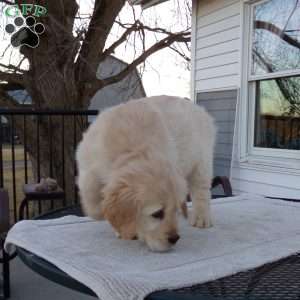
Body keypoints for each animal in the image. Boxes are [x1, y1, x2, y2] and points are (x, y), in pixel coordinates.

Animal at [75, 95, 216, 251]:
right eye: (157, 213)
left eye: (174, 210)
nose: (175, 239)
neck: (134, 150)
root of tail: (196, 106)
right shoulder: (88, 168)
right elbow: (93, 204)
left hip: (202, 162)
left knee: (201, 192)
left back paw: (201, 218)